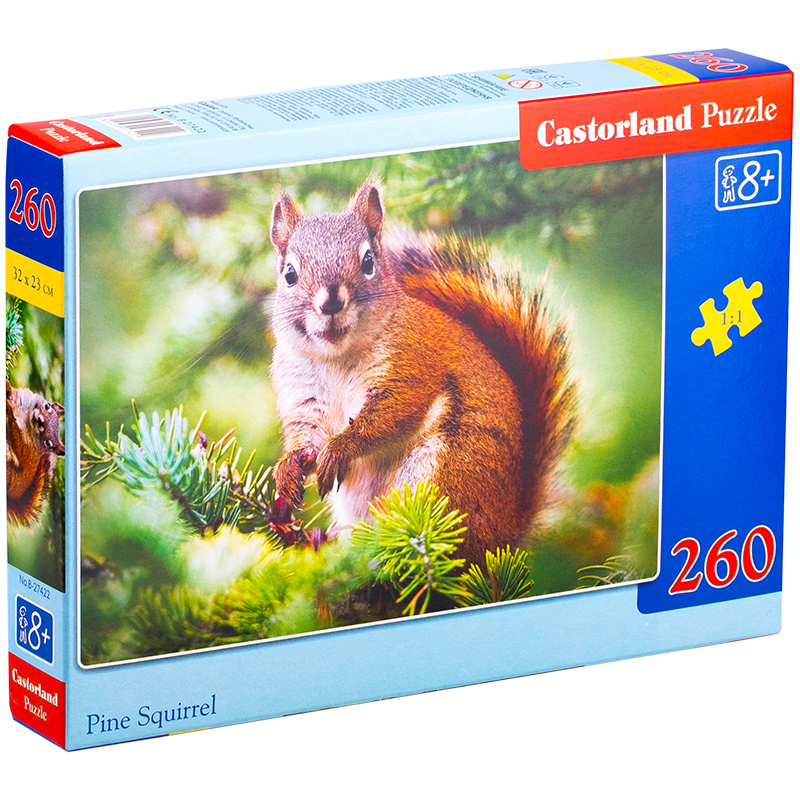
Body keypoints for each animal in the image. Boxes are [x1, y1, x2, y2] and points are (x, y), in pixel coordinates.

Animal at [6, 379, 65, 527]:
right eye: (47, 406)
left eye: (48, 443)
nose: (39, 419)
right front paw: (7, 389)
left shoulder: (28, 451)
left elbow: (18, 441)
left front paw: (9, 408)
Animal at [269, 179, 575, 564]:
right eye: (289, 274)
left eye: (368, 261)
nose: (331, 302)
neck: (337, 357)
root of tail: (506, 532)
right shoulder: (301, 392)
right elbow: (306, 436)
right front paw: (288, 468)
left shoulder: (411, 365)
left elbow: (387, 416)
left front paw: (340, 448)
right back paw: (327, 544)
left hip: (444, 473)